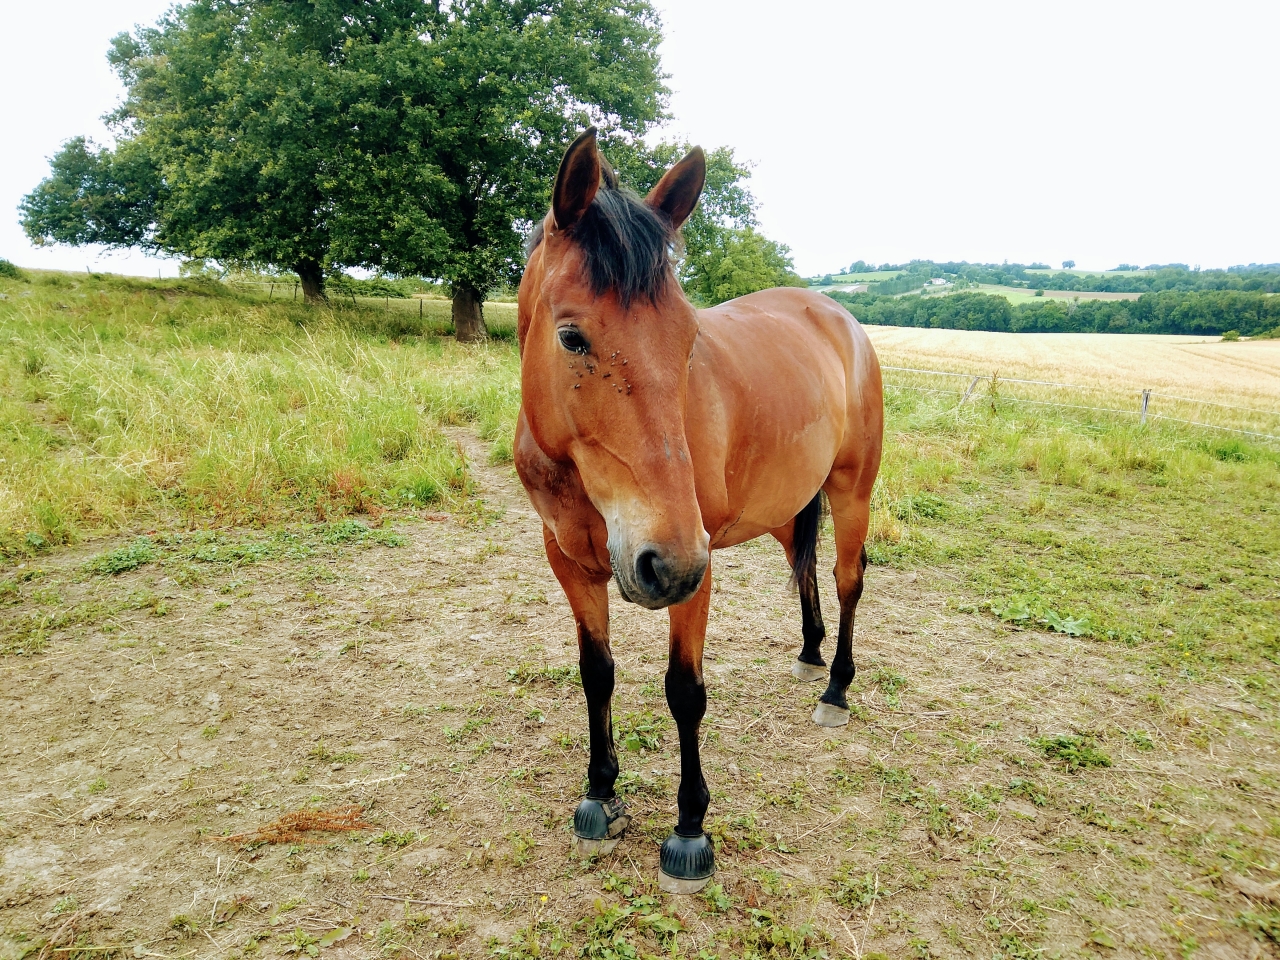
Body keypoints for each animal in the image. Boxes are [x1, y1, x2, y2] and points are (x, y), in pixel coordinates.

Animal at [514, 128, 884, 893]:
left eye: (688, 341)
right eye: (572, 337)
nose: (666, 560)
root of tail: (839, 317)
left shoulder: (696, 567)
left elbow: (684, 691)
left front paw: (689, 830)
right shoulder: (569, 562)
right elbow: (597, 674)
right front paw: (600, 792)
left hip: (851, 491)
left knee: (846, 581)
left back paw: (835, 689)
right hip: (786, 506)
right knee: (804, 570)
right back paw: (810, 655)